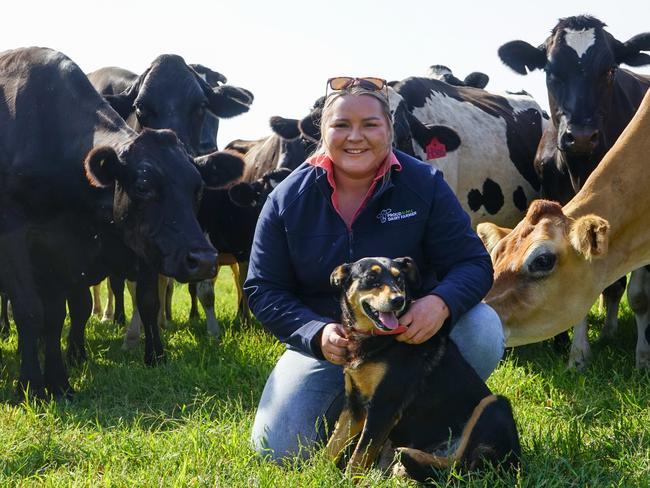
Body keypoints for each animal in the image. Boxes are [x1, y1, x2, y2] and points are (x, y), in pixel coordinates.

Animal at [0, 46, 244, 396]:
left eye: (197, 188)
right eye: (142, 185)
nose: (203, 260)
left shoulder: (62, 246)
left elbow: (59, 314)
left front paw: (59, 384)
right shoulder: (15, 236)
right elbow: (30, 309)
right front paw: (31, 385)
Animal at [326, 255, 520, 480]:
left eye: (399, 280)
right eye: (371, 278)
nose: (398, 300)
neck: (375, 338)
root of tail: (515, 463)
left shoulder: (384, 406)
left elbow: (360, 454)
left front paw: (347, 480)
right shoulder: (354, 404)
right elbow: (333, 444)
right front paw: (315, 471)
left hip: (494, 404)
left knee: (461, 465)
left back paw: (407, 455)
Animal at [496, 15, 648, 368]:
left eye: (610, 70)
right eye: (551, 71)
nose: (579, 136)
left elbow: (638, 296)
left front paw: (643, 357)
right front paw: (578, 354)